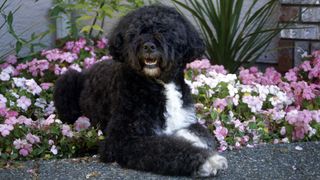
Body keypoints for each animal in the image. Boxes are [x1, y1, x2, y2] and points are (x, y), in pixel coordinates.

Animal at [53, 4, 226, 176]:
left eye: (165, 30)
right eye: (136, 32)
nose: (148, 46)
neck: (160, 83)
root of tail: (87, 69)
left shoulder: (187, 120)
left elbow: (203, 135)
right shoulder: (122, 140)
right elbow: (164, 147)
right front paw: (207, 160)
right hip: (66, 80)